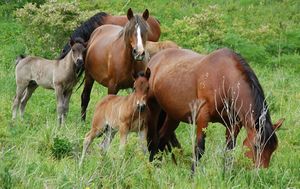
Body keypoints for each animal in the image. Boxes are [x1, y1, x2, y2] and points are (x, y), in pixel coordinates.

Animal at [146, 47, 284, 171]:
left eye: (273, 148)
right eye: (256, 146)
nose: (261, 174)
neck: (223, 78)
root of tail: (155, 59)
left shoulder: (233, 124)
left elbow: (229, 151)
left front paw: (227, 175)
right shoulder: (203, 117)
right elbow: (199, 148)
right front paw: (192, 176)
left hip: (173, 116)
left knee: (162, 138)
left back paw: (157, 167)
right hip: (153, 109)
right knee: (153, 138)